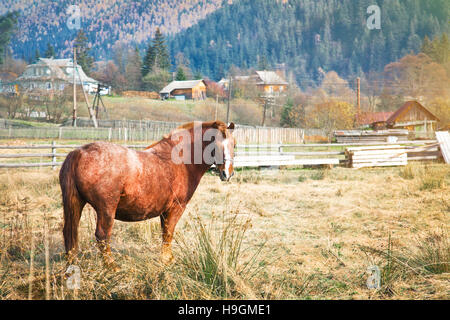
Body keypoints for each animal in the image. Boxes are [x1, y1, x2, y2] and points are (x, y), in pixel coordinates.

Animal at [59, 121, 236, 264]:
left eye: (234, 144)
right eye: (215, 144)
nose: (227, 173)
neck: (181, 160)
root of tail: (79, 152)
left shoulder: (164, 211)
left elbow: (165, 233)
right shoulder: (176, 207)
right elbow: (169, 233)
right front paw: (166, 260)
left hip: (76, 204)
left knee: (70, 233)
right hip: (106, 209)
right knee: (102, 237)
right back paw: (112, 268)